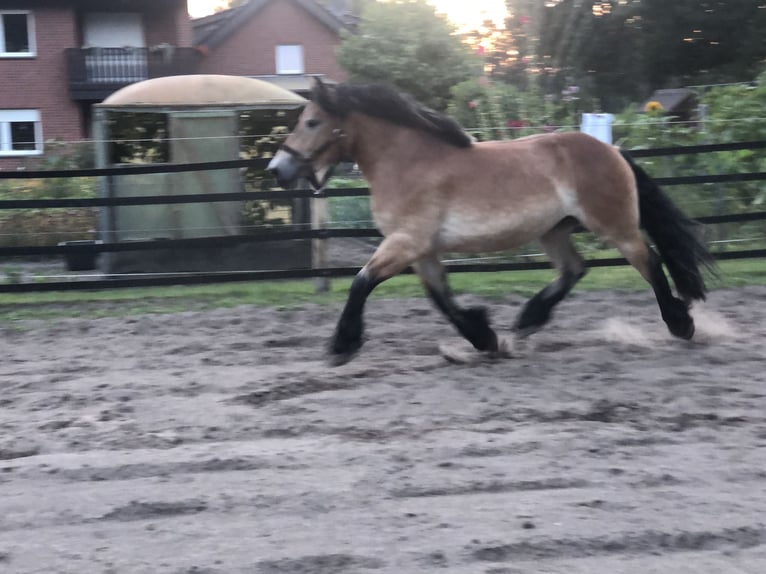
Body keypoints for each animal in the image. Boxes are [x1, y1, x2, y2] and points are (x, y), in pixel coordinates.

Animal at [268, 79, 712, 366]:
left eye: (311, 122)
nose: (277, 169)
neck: (408, 162)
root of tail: (612, 150)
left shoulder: (405, 243)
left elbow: (361, 282)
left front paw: (342, 346)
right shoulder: (421, 250)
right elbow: (441, 298)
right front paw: (484, 338)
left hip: (614, 226)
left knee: (649, 262)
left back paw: (681, 325)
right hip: (554, 231)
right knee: (574, 269)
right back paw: (526, 323)